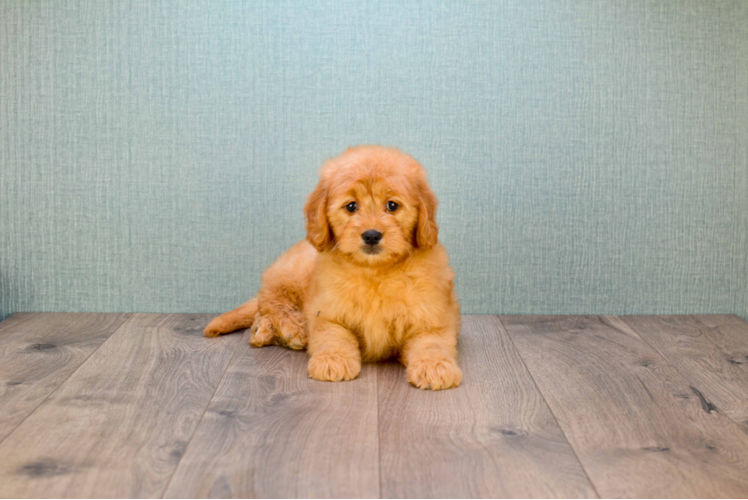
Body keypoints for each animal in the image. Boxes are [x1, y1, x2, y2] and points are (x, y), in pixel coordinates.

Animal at [205, 145, 462, 390]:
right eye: (351, 206)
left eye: (392, 205)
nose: (371, 235)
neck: (375, 273)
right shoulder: (326, 311)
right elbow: (333, 335)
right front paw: (332, 360)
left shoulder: (431, 317)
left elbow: (431, 343)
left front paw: (435, 367)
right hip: (292, 273)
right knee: (270, 301)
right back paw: (290, 329)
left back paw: (262, 331)